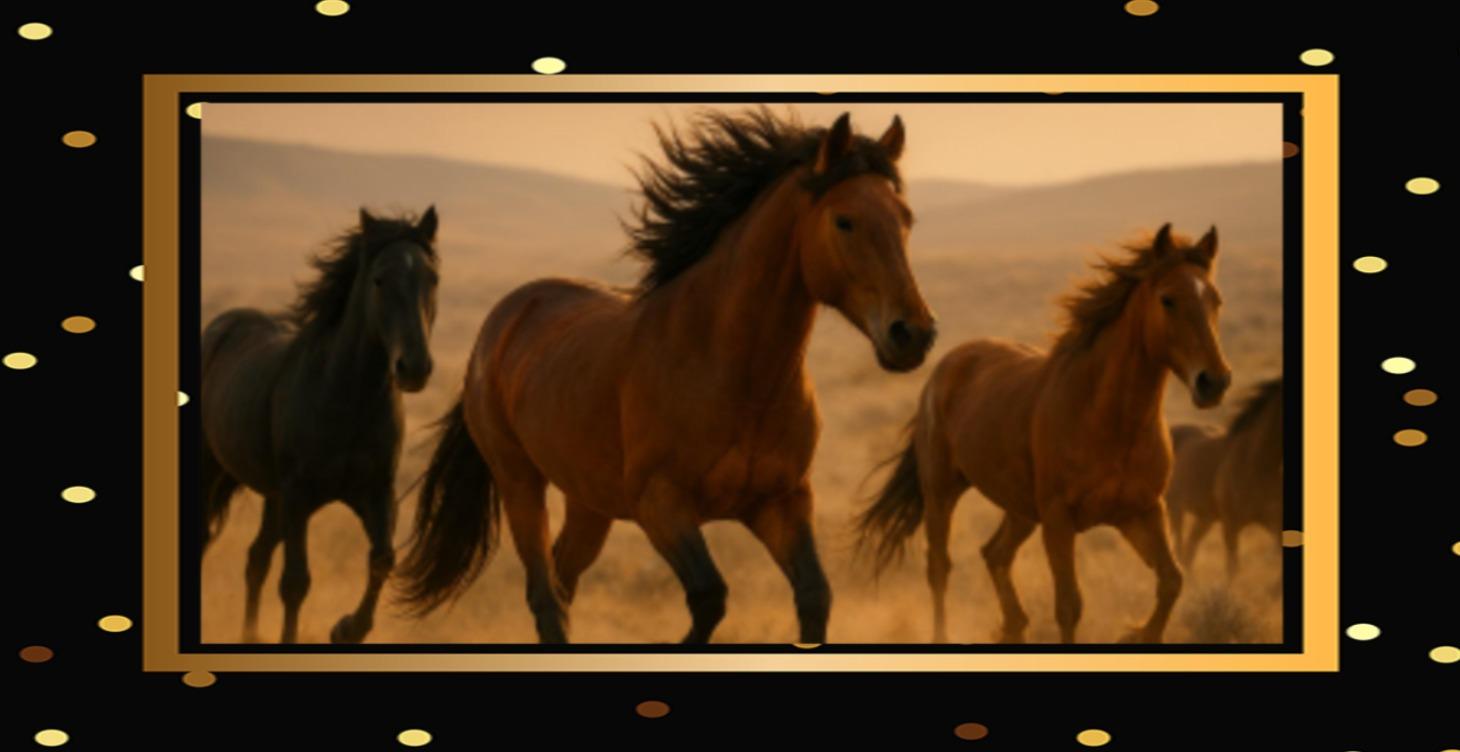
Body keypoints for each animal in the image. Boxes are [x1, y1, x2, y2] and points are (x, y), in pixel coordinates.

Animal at [200, 207, 440, 644]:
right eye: (379, 279)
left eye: (432, 279)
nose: (414, 368)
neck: (346, 398)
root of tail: (223, 325)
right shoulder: (299, 496)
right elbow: (296, 582)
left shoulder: (376, 493)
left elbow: (383, 559)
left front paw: (346, 629)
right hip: (215, 472)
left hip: (273, 497)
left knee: (256, 558)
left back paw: (249, 636)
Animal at [397, 108, 934, 644]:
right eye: (845, 221)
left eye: (906, 219)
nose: (914, 334)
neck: (734, 374)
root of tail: (505, 317)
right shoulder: (662, 506)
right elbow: (709, 598)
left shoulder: (782, 502)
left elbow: (815, 597)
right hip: (519, 481)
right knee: (545, 595)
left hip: (589, 502)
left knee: (562, 580)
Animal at [858, 223, 1231, 644]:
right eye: (1168, 300)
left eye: (1216, 300)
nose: (1214, 382)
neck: (1109, 420)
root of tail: (946, 366)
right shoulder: (1059, 519)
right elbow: (1069, 606)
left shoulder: (1143, 511)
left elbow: (1171, 581)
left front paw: (1136, 635)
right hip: (942, 491)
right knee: (939, 566)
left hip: (1021, 509)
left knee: (994, 554)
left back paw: (1014, 627)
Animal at [1166, 377, 1283, 579]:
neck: (1257, 463)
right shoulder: (1231, 525)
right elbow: (1232, 568)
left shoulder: (1274, 521)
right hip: (1175, 509)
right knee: (1180, 549)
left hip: (1205, 517)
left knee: (1189, 550)